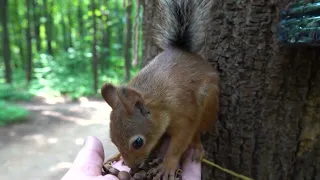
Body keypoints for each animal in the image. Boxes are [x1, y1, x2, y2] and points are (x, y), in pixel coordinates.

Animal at [101, 0, 219, 179]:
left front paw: (168, 166)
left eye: (138, 142)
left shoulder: (185, 115)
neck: (160, 104)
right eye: (113, 140)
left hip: (210, 102)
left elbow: (179, 143)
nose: (133, 167)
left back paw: (197, 146)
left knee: (199, 130)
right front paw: (118, 155)